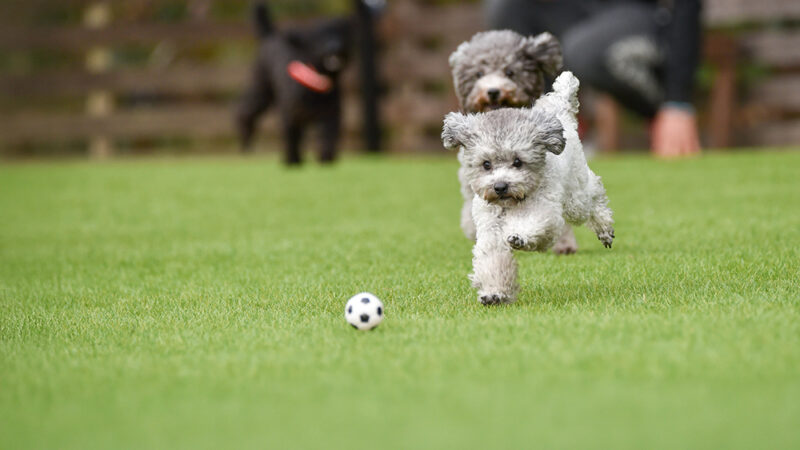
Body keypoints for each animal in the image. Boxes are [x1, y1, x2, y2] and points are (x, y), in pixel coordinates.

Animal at [234, 2, 354, 164]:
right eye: (319, 37)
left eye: (340, 33)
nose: (334, 46)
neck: (315, 82)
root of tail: (271, 35)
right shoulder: (290, 114)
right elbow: (292, 137)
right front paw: (292, 160)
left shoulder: (331, 114)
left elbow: (328, 137)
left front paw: (326, 158)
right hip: (260, 91)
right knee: (245, 112)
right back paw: (245, 135)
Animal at [440, 73, 616, 306]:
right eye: (486, 164)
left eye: (518, 162)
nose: (500, 186)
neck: (512, 203)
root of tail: (559, 109)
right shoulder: (490, 228)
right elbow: (493, 259)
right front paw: (495, 293)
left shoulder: (544, 210)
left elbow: (534, 223)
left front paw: (519, 237)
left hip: (575, 196)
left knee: (594, 195)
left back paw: (605, 230)